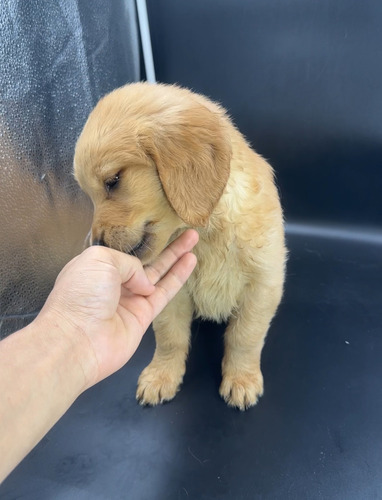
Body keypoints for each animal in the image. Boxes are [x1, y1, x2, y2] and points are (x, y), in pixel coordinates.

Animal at [73, 82, 286, 410]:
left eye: (114, 180)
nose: (96, 245)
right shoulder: (172, 295)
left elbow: (244, 337)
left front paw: (242, 378)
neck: (205, 232)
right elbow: (170, 338)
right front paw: (161, 375)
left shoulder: (262, 286)